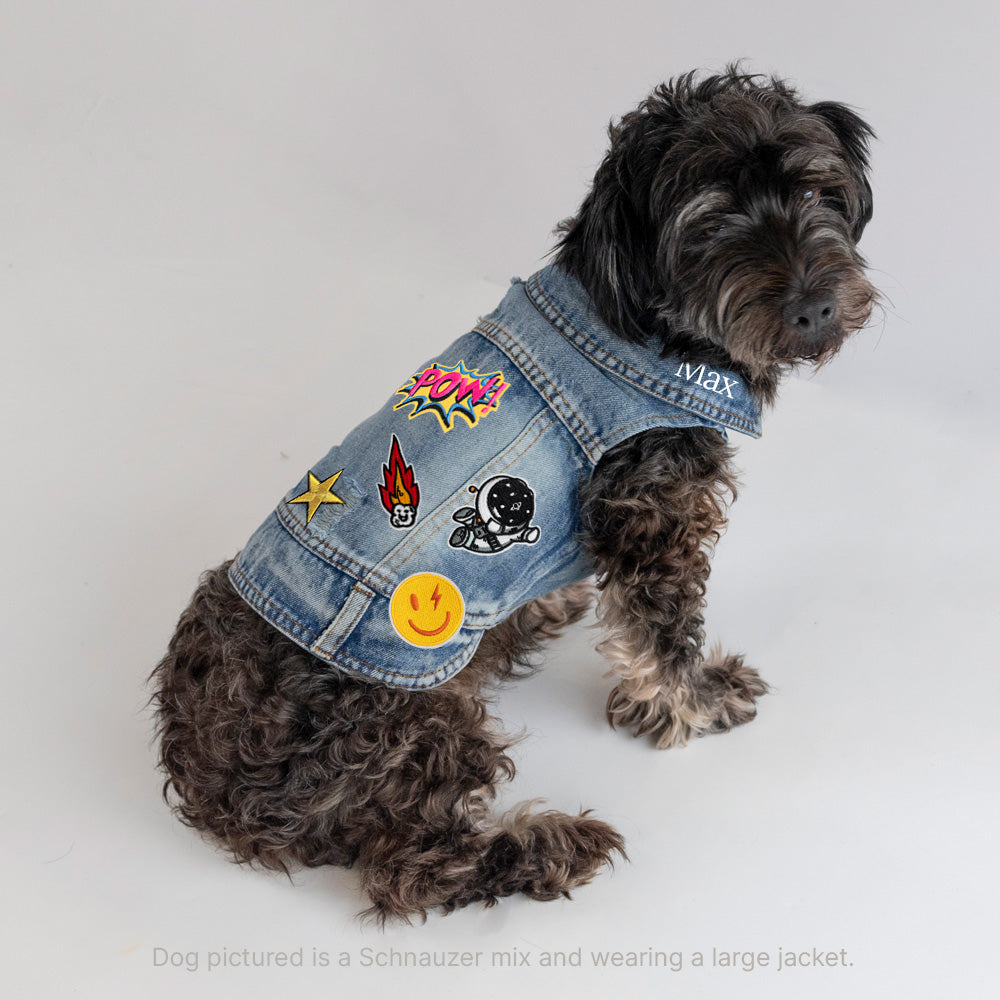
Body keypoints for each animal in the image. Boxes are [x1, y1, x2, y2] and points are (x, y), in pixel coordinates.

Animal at [148, 68, 876, 920]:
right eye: (711, 224)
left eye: (815, 191)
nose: (814, 308)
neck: (644, 325)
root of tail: (206, 778)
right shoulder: (653, 511)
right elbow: (664, 632)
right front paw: (691, 702)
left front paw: (545, 604)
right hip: (413, 723)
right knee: (413, 868)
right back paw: (550, 846)